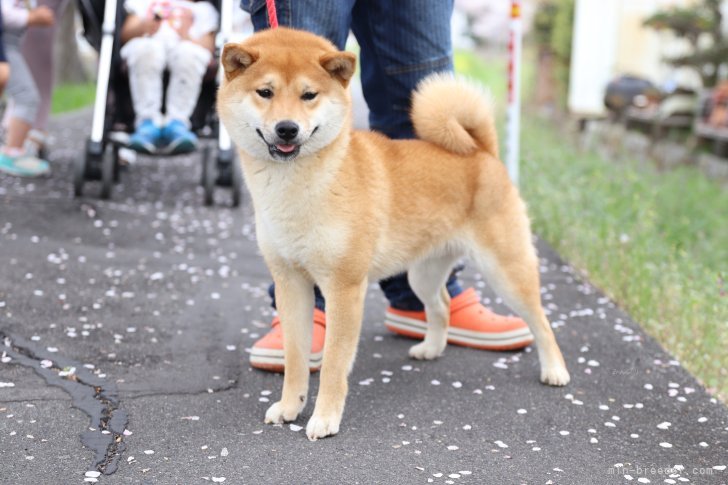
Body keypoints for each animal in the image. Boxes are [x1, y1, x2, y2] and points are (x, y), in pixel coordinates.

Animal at [216, 28, 568, 440]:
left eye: (309, 95)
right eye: (265, 92)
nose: (287, 128)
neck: (300, 187)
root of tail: (482, 153)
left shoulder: (345, 288)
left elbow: (333, 364)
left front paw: (324, 418)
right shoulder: (290, 283)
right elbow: (296, 358)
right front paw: (290, 407)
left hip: (506, 269)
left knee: (541, 320)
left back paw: (555, 369)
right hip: (424, 273)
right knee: (441, 305)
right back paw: (431, 348)